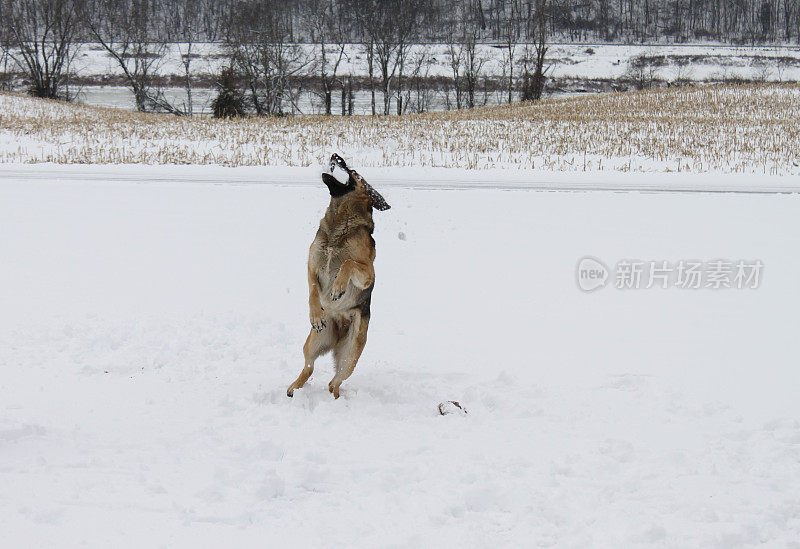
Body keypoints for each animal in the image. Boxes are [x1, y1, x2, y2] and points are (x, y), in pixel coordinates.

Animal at [288, 154, 390, 398]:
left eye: (353, 172)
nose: (336, 156)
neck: (338, 225)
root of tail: (339, 331)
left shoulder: (368, 272)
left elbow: (347, 262)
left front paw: (338, 287)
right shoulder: (312, 265)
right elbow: (313, 290)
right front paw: (316, 314)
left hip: (350, 356)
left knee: (334, 382)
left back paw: (335, 400)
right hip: (313, 342)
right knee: (309, 367)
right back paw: (294, 387)